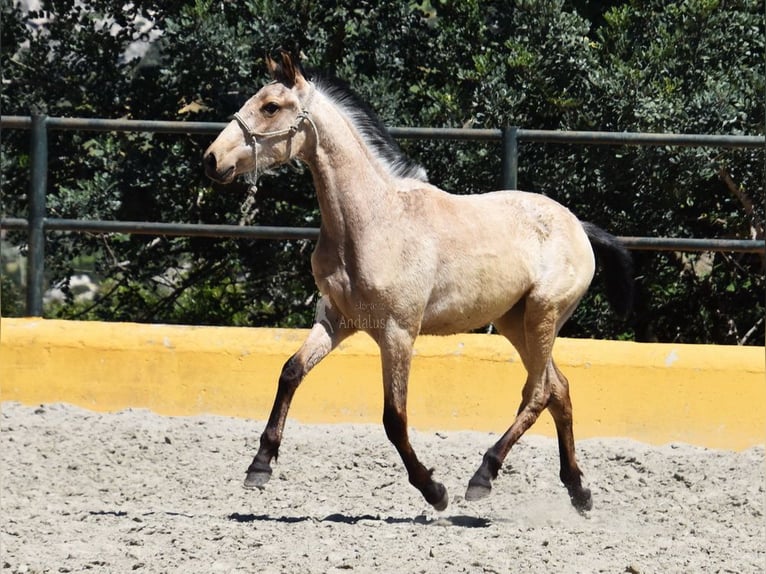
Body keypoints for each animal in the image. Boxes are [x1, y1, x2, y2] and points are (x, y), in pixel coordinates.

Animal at [201, 51, 632, 516]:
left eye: (270, 107)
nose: (211, 159)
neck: (374, 220)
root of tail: (579, 227)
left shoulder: (398, 332)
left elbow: (395, 418)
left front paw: (433, 490)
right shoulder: (335, 321)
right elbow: (290, 372)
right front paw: (259, 466)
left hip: (542, 316)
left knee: (537, 393)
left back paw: (483, 477)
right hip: (516, 323)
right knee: (558, 389)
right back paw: (578, 491)